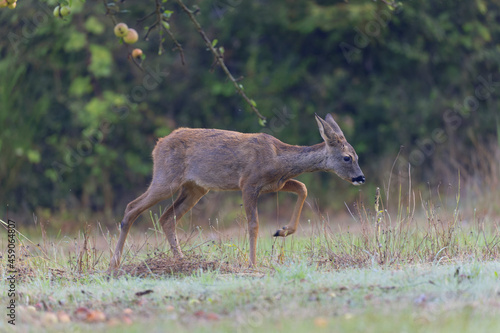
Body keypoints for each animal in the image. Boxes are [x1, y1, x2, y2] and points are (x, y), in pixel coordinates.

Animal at [109, 113, 366, 268]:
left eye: (357, 155)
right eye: (347, 157)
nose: (361, 178)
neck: (278, 159)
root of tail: (158, 145)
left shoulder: (276, 184)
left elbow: (302, 187)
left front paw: (282, 231)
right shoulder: (248, 183)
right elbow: (253, 225)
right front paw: (253, 264)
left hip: (195, 188)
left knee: (166, 217)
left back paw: (181, 260)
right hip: (166, 178)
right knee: (132, 207)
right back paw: (114, 264)